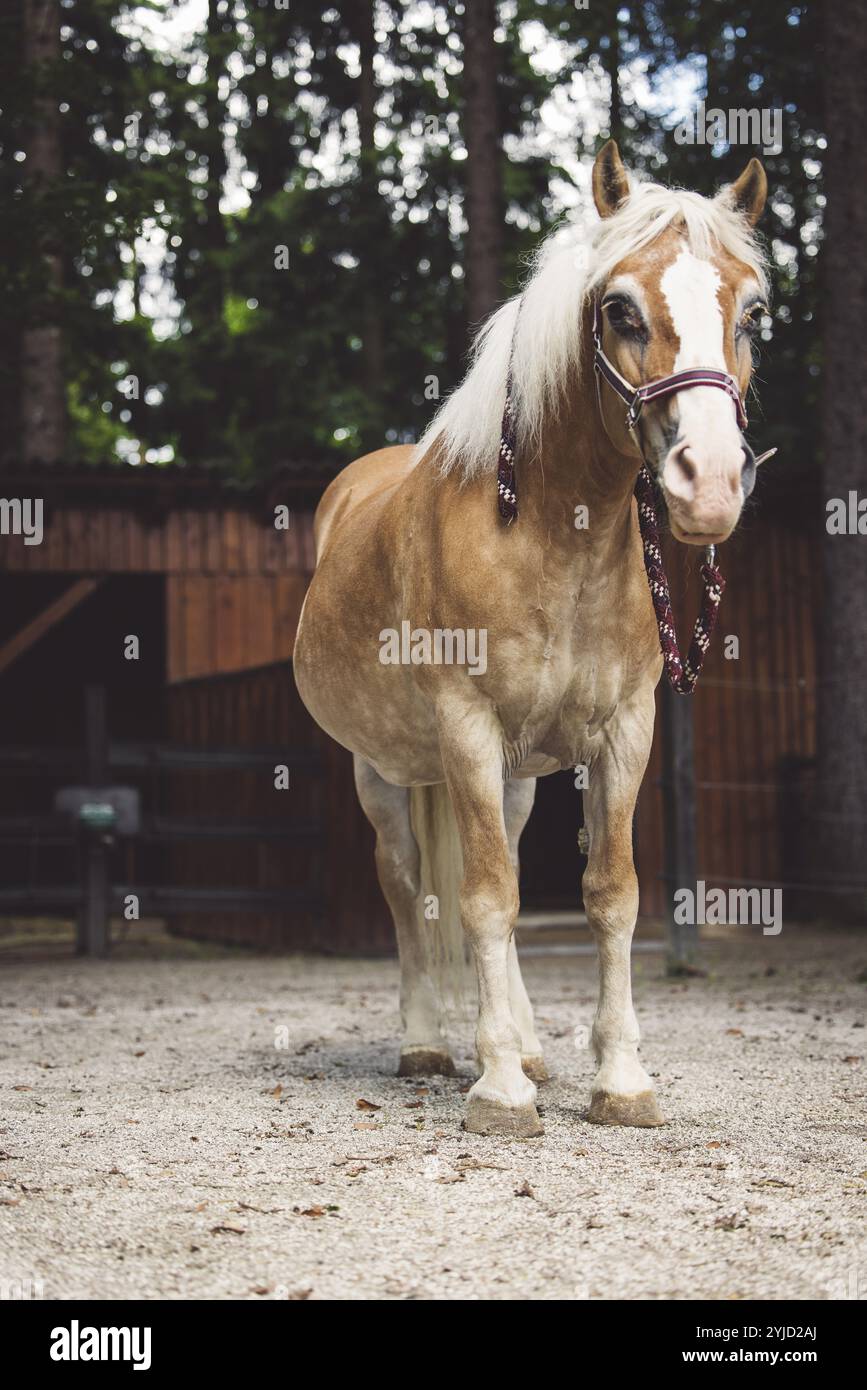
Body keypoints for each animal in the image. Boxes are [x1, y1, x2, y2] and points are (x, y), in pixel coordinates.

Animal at [294, 141, 770, 1137]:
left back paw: (524, 1043)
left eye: (753, 314)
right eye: (620, 309)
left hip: (512, 776)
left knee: (502, 862)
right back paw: (430, 1045)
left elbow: (608, 897)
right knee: (406, 884)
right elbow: (481, 900)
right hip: (382, 771)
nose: (709, 482)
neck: (557, 537)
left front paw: (616, 1079)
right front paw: (499, 1089)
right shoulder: (466, 730)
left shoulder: (622, 732)